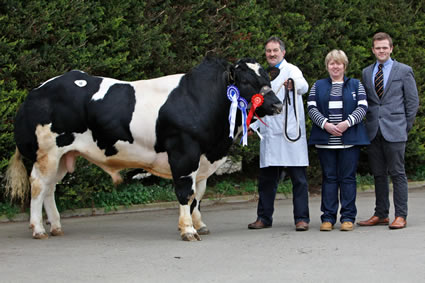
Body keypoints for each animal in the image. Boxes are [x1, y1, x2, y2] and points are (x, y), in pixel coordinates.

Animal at [5, 57, 282, 242]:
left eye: (268, 79)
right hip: (46, 153)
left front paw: (199, 224)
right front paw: (188, 230)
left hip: (63, 155)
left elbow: (199, 194)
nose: (278, 105)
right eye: (245, 81)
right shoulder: (184, 154)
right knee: (38, 185)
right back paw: (39, 229)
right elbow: (186, 193)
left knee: (50, 188)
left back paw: (56, 226)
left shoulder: (203, 159)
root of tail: (38, 90)